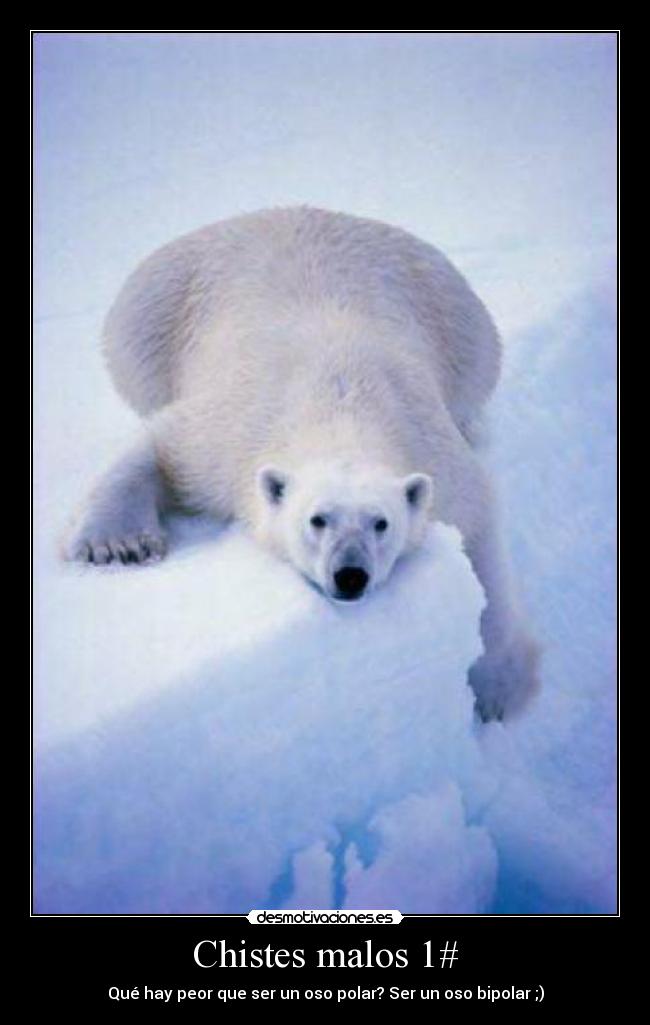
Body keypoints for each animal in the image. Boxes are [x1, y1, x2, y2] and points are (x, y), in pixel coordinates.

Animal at [64, 205, 540, 720]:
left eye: (381, 522)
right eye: (317, 519)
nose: (350, 574)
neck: (340, 403)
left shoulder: (435, 453)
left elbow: (479, 543)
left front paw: (497, 688)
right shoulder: (231, 431)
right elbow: (164, 446)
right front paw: (116, 546)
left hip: (458, 319)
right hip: (155, 308)